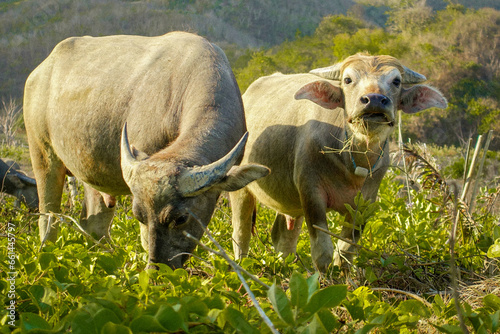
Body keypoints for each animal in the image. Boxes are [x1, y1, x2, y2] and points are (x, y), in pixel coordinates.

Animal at [22, 32, 270, 268]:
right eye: (139, 216)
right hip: (43, 155)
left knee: (93, 224)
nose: (157, 267)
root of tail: (39, 72)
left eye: (181, 218)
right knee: (48, 218)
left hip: (91, 173)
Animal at [232, 52, 448, 272]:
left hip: (290, 201)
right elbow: (323, 251)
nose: (374, 100)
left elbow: (346, 251)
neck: (352, 166)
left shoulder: (365, 202)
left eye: (396, 81)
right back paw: (241, 263)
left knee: (283, 236)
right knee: (241, 232)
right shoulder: (311, 192)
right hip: (241, 186)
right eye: (348, 80)